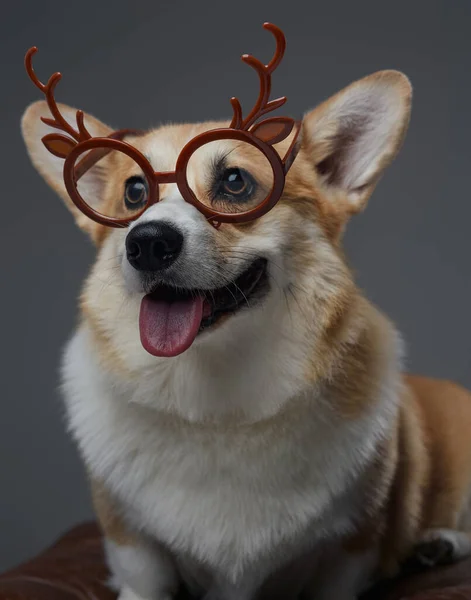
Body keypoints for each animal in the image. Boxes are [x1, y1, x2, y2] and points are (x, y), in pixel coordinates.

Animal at [20, 24, 471, 600]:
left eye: (235, 182)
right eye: (134, 192)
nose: (148, 243)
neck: (216, 402)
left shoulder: (348, 554)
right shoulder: (135, 553)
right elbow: (144, 573)